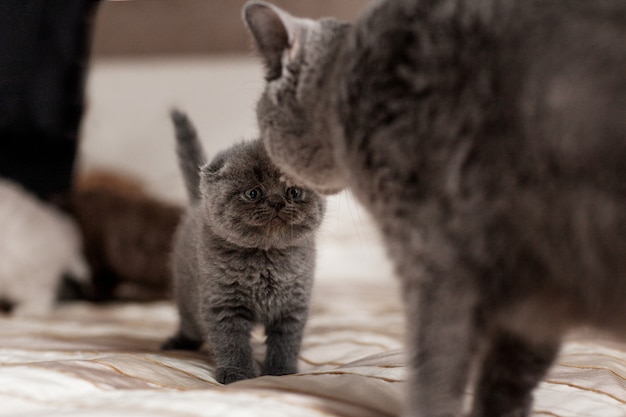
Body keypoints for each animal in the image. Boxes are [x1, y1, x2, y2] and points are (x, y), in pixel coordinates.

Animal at [161, 110, 326, 384]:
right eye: (253, 193)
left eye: (293, 192)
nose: (277, 202)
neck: (266, 258)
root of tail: (197, 201)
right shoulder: (224, 304)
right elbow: (232, 341)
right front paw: (238, 374)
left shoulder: (293, 304)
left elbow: (286, 341)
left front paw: (281, 372)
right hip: (187, 294)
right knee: (190, 324)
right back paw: (177, 342)